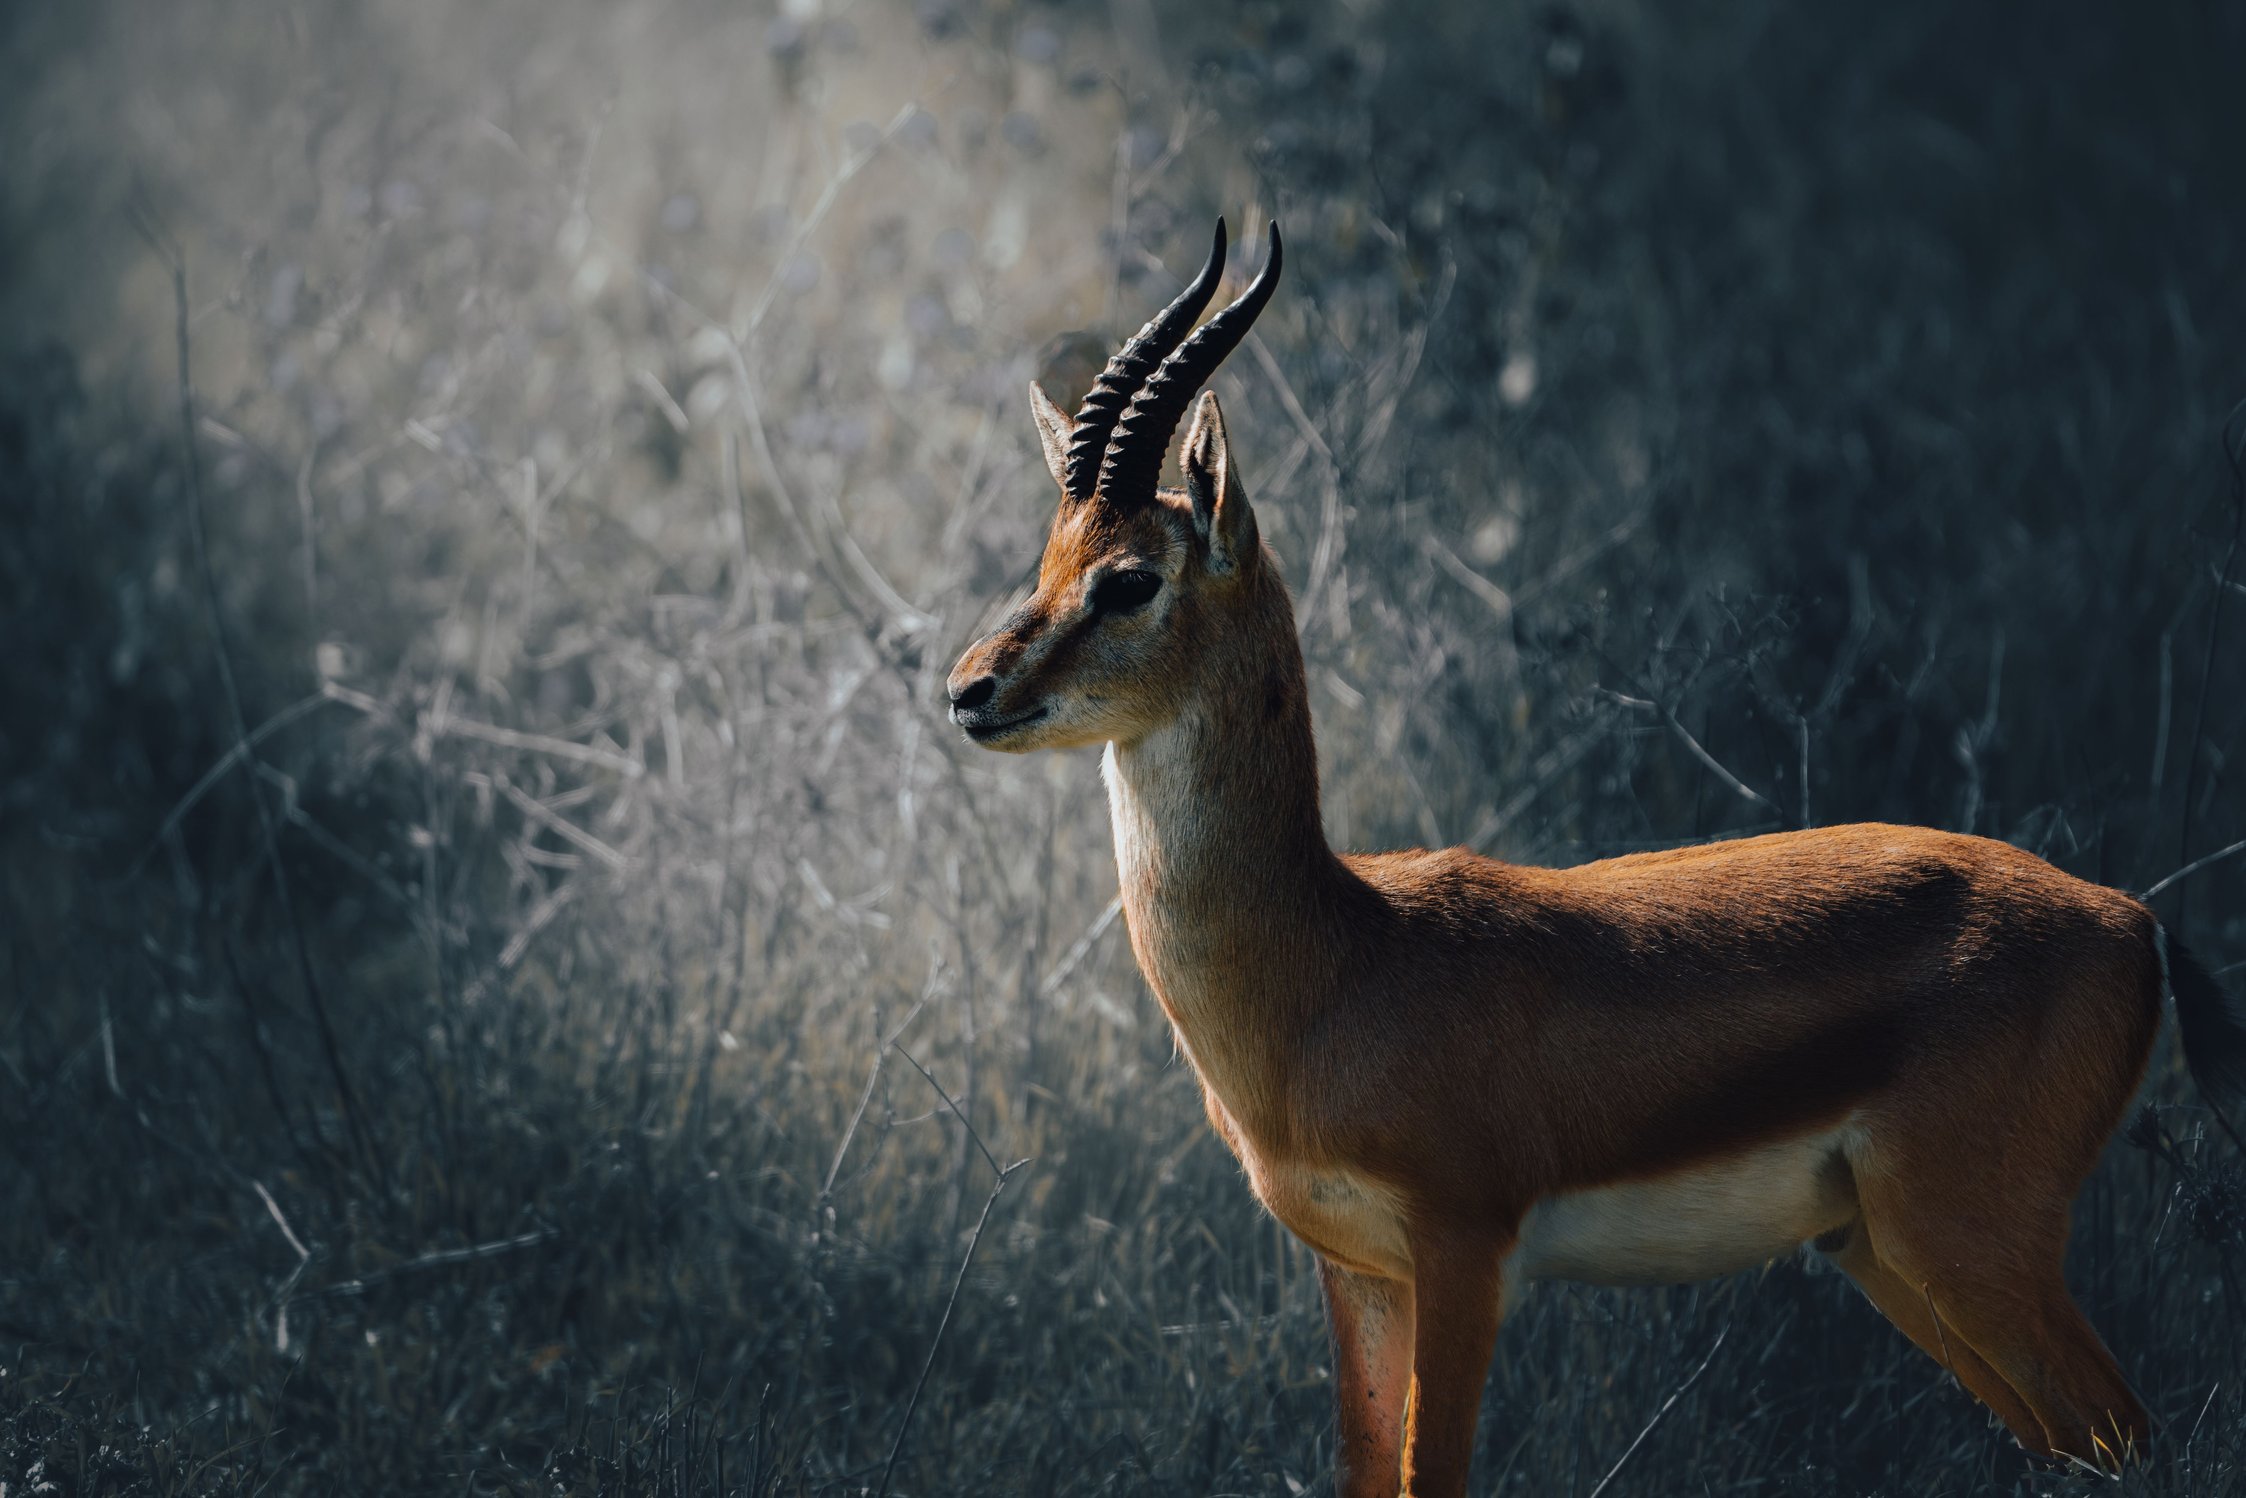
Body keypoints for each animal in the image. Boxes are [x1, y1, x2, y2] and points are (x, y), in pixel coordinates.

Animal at [944, 218, 2246, 1497]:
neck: (1335, 962)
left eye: (1128, 578)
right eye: (1045, 558)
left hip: (1969, 1246)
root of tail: (2130, 917)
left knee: (2140, 1436)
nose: (968, 689)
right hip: (1883, 1253)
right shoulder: (1357, 1271)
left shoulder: (1463, 1252)